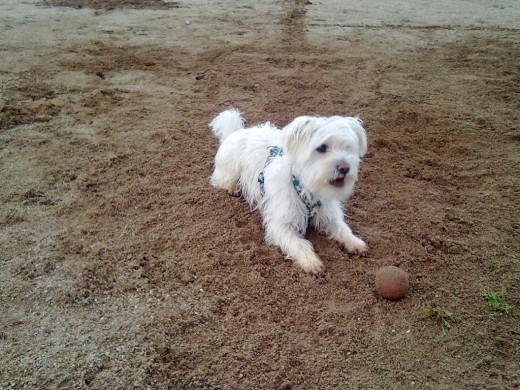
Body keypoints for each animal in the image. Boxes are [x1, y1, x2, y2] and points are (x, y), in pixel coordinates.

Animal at [209, 108, 368, 274]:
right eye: (322, 148)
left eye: (348, 147)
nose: (345, 168)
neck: (306, 188)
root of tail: (235, 132)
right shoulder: (281, 224)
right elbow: (298, 243)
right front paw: (311, 261)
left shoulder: (328, 214)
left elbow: (342, 228)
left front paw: (355, 242)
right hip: (230, 169)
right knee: (222, 179)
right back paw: (233, 187)